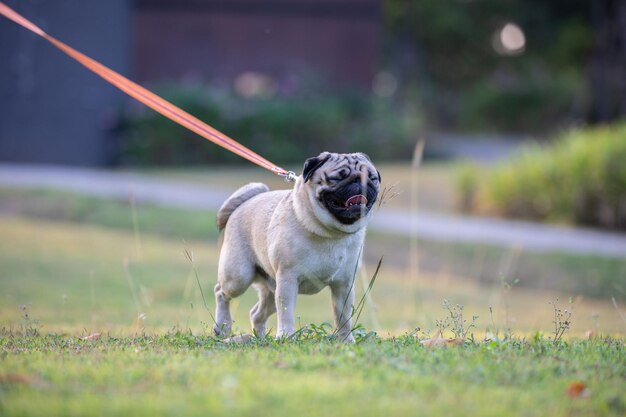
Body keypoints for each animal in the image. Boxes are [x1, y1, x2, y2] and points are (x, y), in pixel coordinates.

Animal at [214, 152, 378, 342]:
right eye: (337, 178)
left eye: (372, 178)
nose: (360, 180)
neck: (331, 233)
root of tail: (243, 204)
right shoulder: (288, 279)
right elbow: (286, 313)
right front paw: (285, 335)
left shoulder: (343, 285)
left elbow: (343, 317)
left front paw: (346, 340)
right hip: (239, 277)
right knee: (221, 292)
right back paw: (222, 326)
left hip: (271, 288)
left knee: (256, 314)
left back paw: (260, 338)